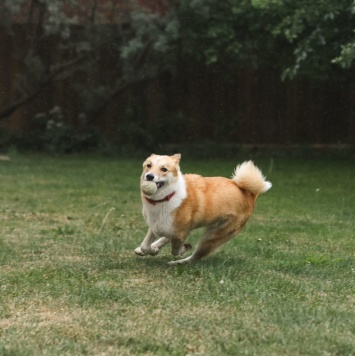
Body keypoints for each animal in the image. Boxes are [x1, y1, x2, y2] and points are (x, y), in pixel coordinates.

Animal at [134, 153, 272, 264]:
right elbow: (145, 245)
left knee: (196, 256)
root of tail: (249, 193)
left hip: (212, 237)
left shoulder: (180, 233)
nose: (149, 176)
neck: (167, 196)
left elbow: (175, 249)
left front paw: (182, 248)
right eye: (148, 165)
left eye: (164, 169)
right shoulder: (156, 225)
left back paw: (179, 262)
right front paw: (150, 249)